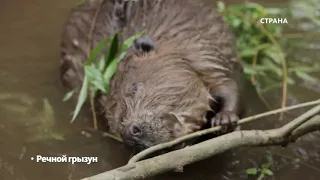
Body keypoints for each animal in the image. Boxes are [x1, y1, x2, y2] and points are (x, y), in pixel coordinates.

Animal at [60, 0, 245, 153]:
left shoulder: (204, 55)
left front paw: (225, 119)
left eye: (134, 89)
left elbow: (230, 85)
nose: (130, 132)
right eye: (116, 121)